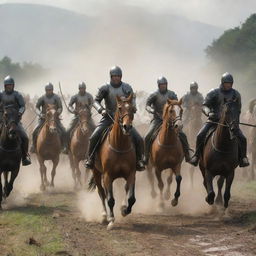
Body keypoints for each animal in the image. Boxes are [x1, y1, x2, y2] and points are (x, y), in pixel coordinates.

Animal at [89, 93, 138, 230]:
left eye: (133, 109)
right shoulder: (108, 175)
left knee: (124, 189)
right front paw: (111, 220)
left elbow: (132, 198)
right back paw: (104, 216)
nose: (127, 127)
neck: (120, 146)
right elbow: (110, 199)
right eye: (120, 108)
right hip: (96, 173)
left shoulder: (131, 174)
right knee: (102, 193)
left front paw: (125, 210)